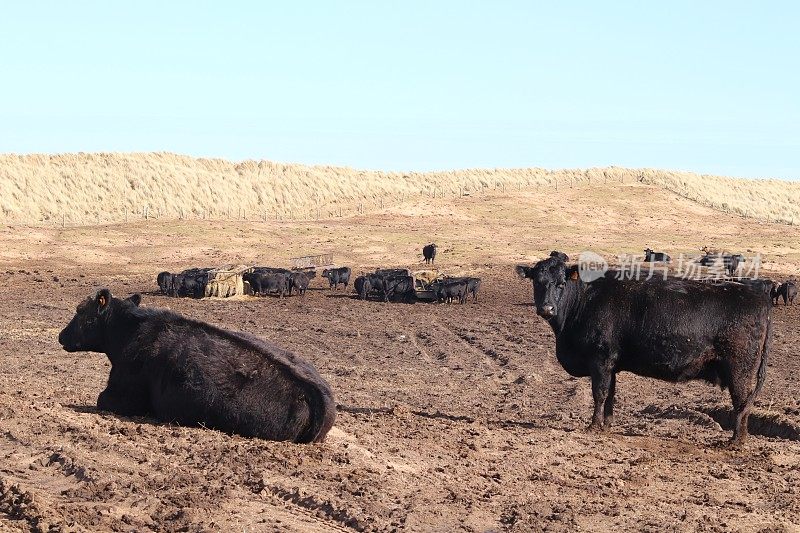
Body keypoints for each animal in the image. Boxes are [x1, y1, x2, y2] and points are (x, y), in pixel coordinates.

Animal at [58, 288, 334, 442]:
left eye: (81, 311)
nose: (61, 336)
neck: (129, 331)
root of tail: (314, 392)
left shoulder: (123, 394)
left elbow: (101, 400)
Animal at [520, 255, 772, 444]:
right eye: (537, 282)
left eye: (561, 283)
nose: (547, 308)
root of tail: (758, 297)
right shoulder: (611, 365)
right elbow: (611, 394)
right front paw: (607, 425)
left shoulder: (600, 360)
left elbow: (599, 393)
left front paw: (593, 426)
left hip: (740, 370)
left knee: (741, 403)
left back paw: (736, 441)